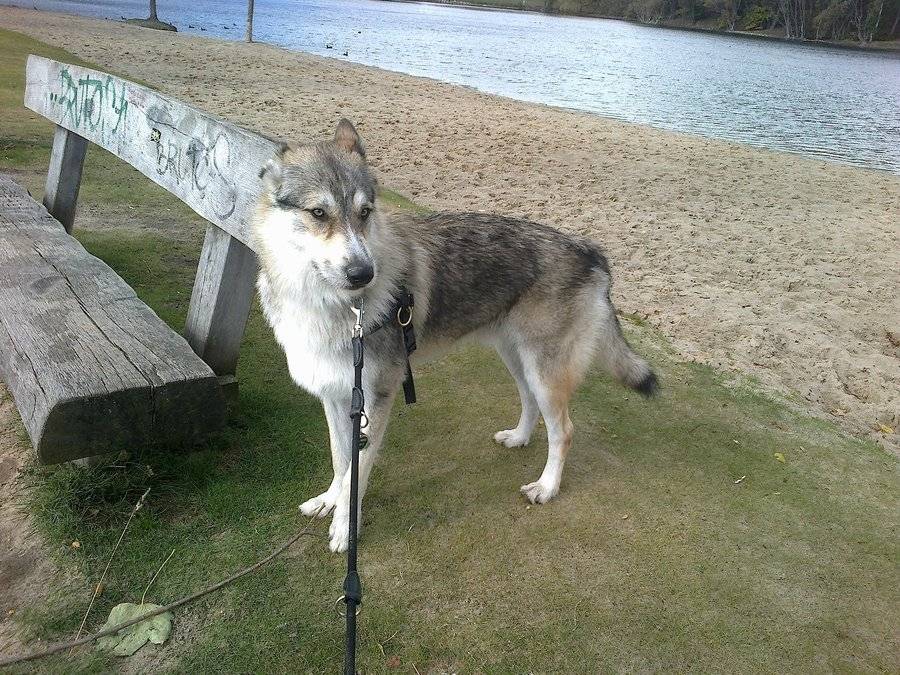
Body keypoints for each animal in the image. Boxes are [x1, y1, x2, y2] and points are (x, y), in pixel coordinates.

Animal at [252, 119, 658, 552]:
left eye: (364, 213)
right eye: (318, 212)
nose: (364, 273)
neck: (329, 305)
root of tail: (591, 250)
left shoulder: (376, 399)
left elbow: (355, 475)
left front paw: (346, 528)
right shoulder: (334, 393)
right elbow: (340, 460)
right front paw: (329, 501)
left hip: (543, 370)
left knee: (562, 431)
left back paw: (547, 487)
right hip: (517, 360)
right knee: (530, 401)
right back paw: (519, 438)